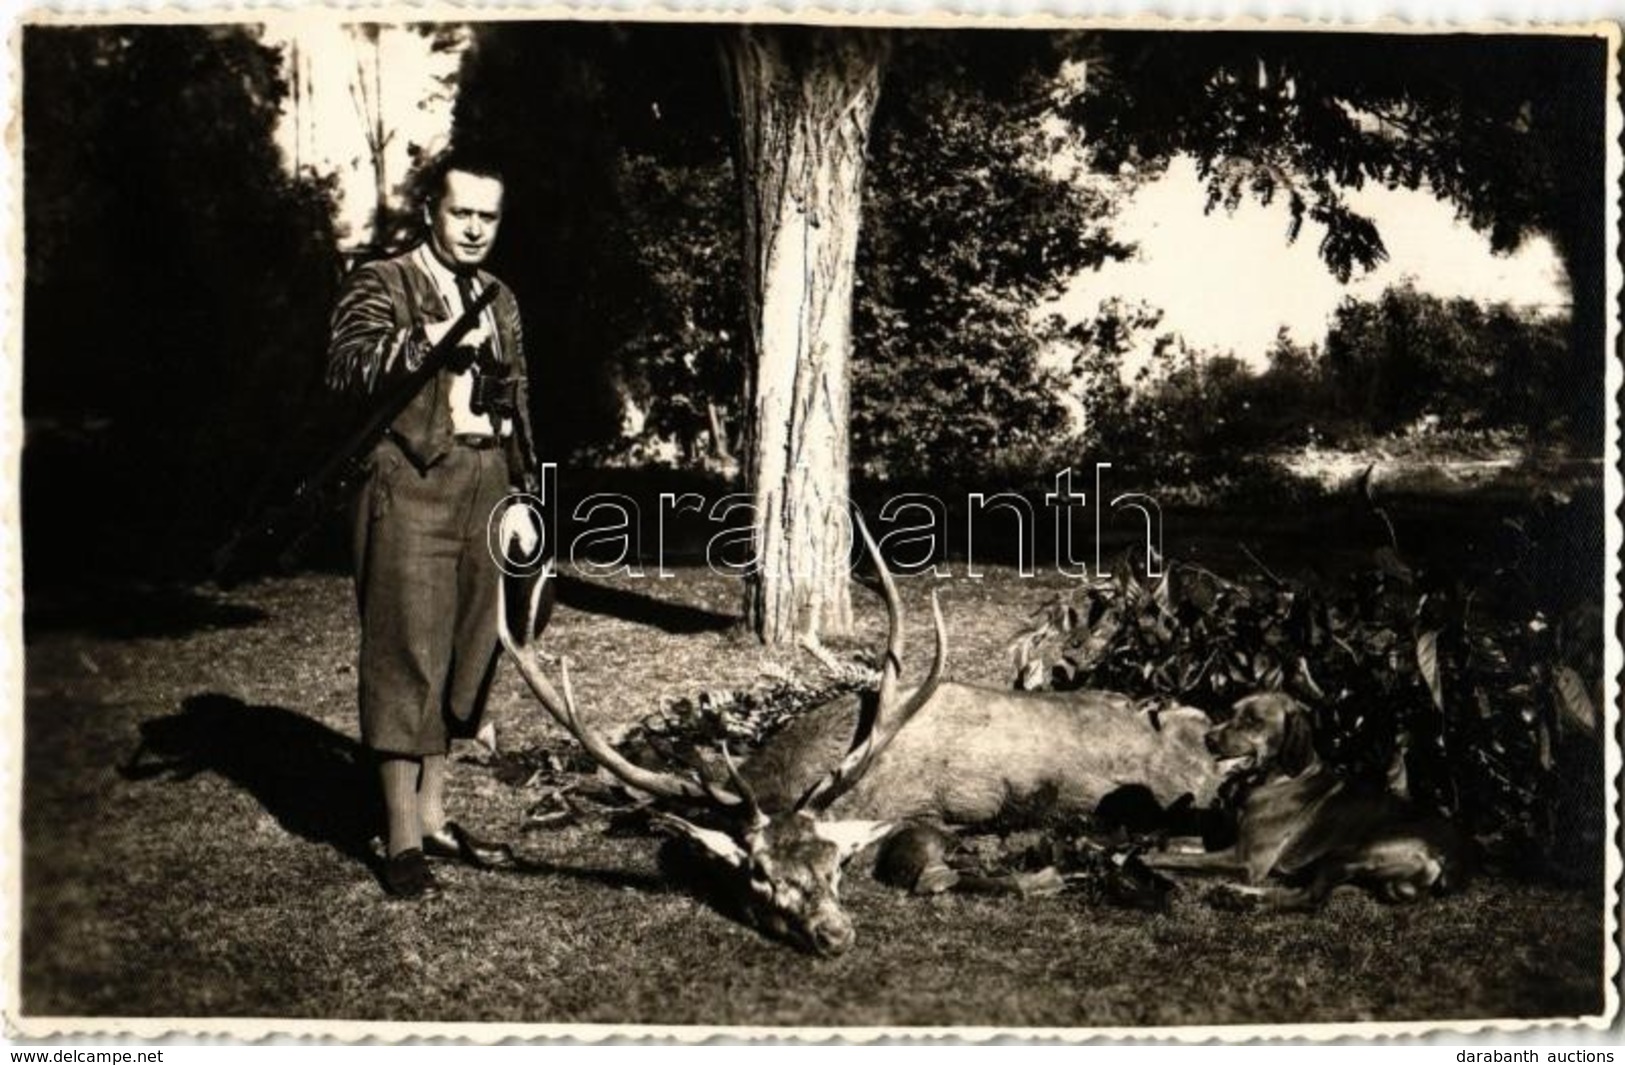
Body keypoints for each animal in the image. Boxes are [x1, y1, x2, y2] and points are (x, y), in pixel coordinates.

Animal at [1144, 695, 1475, 910]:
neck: (1278, 777)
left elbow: (1173, 857)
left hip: (1350, 851)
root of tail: (1453, 858)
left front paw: (1146, 859)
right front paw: (1149, 841)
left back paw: (1240, 896)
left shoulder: (1245, 860)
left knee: (1310, 900)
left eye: (1253, 721)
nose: (1208, 739)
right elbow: (1175, 844)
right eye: (1231, 712)